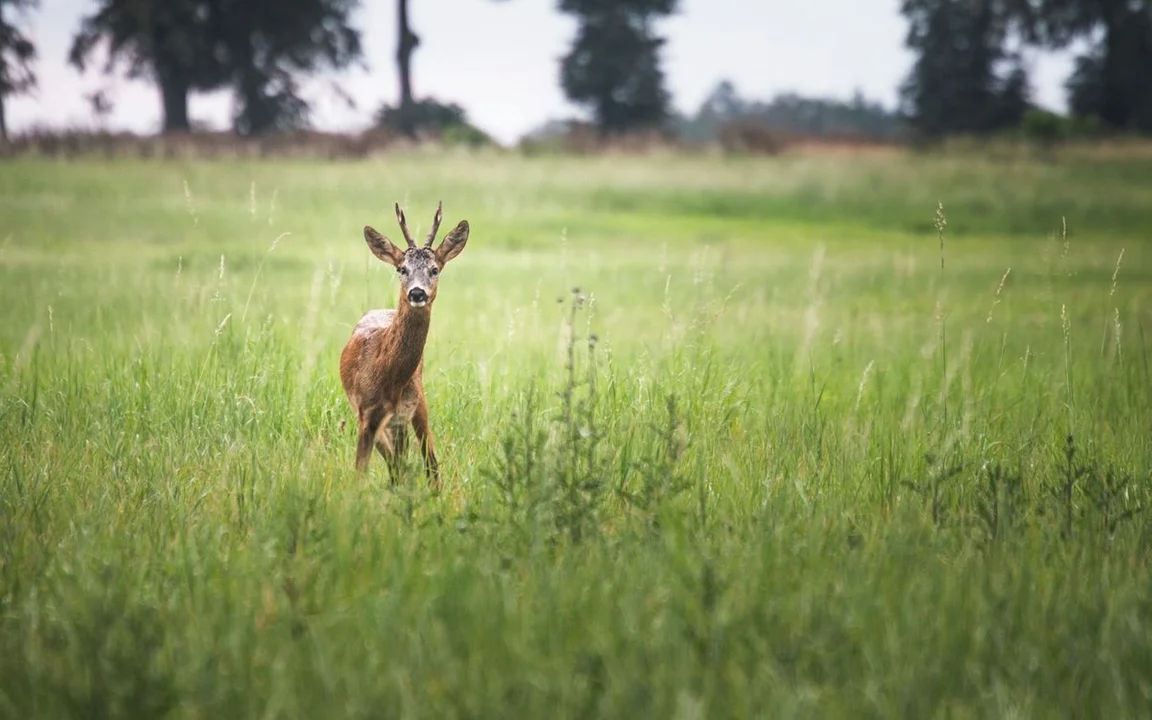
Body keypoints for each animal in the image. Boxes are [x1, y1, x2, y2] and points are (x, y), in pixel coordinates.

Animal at [338, 199, 470, 486]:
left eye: (434, 269)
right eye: (402, 269)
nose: (417, 293)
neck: (386, 375)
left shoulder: (406, 412)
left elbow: (425, 463)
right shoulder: (366, 414)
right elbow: (361, 472)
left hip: (418, 403)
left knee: (427, 462)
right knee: (396, 463)